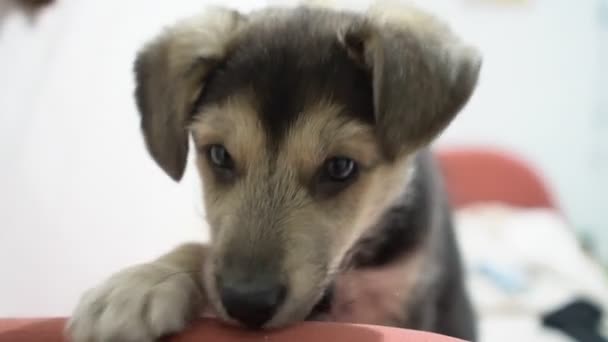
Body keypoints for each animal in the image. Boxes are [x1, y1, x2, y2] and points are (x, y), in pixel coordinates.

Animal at [67, 3, 480, 342]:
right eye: (219, 155)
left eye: (340, 167)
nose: (246, 303)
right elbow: (203, 251)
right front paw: (144, 280)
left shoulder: (398, 301)